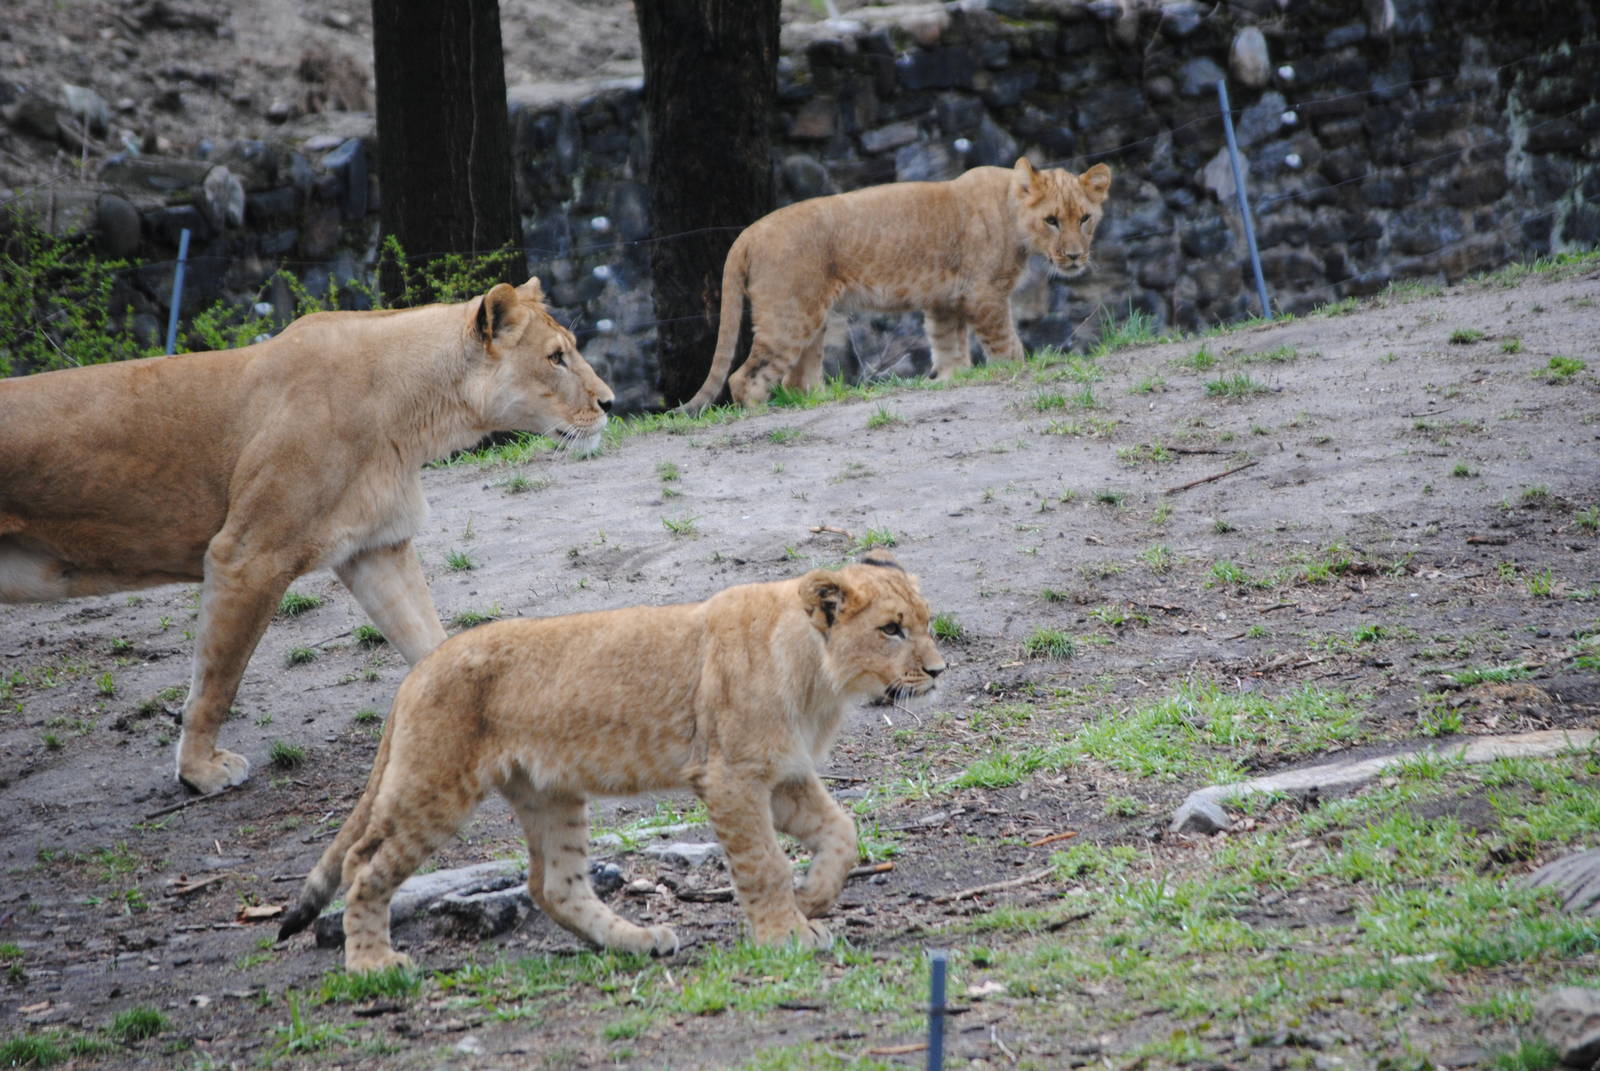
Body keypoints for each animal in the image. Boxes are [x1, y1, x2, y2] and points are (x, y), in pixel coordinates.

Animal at [0, 278, 613, 795]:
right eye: (556, 357)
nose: (609, 402)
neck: (414, 412)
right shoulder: (246, 556)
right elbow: (218, 679)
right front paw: (199, 772)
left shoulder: (375, 550)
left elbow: (430, 642)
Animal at [277, 552, 946, 970]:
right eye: (891, 629)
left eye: (925, 623)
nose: (940, 671)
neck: (819, 678)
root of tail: (418, 671)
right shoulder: (731, 776)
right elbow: (762, 863)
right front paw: (786, 935)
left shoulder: (782, 773)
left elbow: (842, 831)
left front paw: (812, 899)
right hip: (433, 788)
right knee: (363, 865)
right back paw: (373, 965)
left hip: (549, 793)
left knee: (553, 885)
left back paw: (638, 942)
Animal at [680, 157, 1113, 411]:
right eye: (1052, 220)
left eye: (1085, 218)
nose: (1075, 256)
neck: (1011, 210)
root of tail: (747, 233)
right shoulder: (985, 295)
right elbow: (1008, 349)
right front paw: (1016, 374)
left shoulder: (945, 300)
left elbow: (950, 349)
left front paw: (952, 379)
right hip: (789, 317)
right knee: (744, 378)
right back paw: (762, 413)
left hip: (811, 319)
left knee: (798, 380)